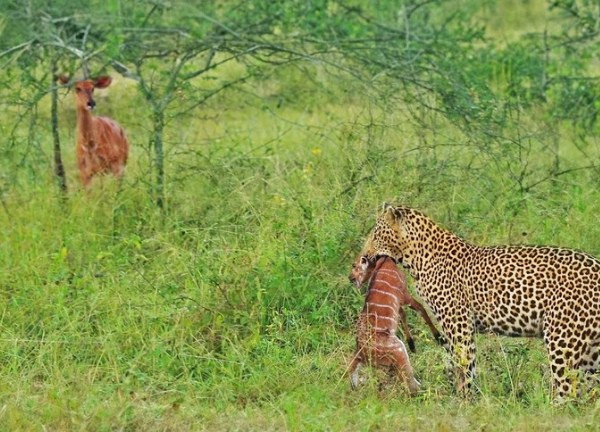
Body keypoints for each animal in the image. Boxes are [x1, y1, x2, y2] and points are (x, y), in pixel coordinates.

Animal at [358, 203, 596, 402]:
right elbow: (453, 362)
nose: (364, 256)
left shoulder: (459, 325)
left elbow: (465, 365)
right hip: (590, 348)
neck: (417, 258)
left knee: (567, 388)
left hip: (562, 339)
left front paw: (464, 400)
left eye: (376, 233)